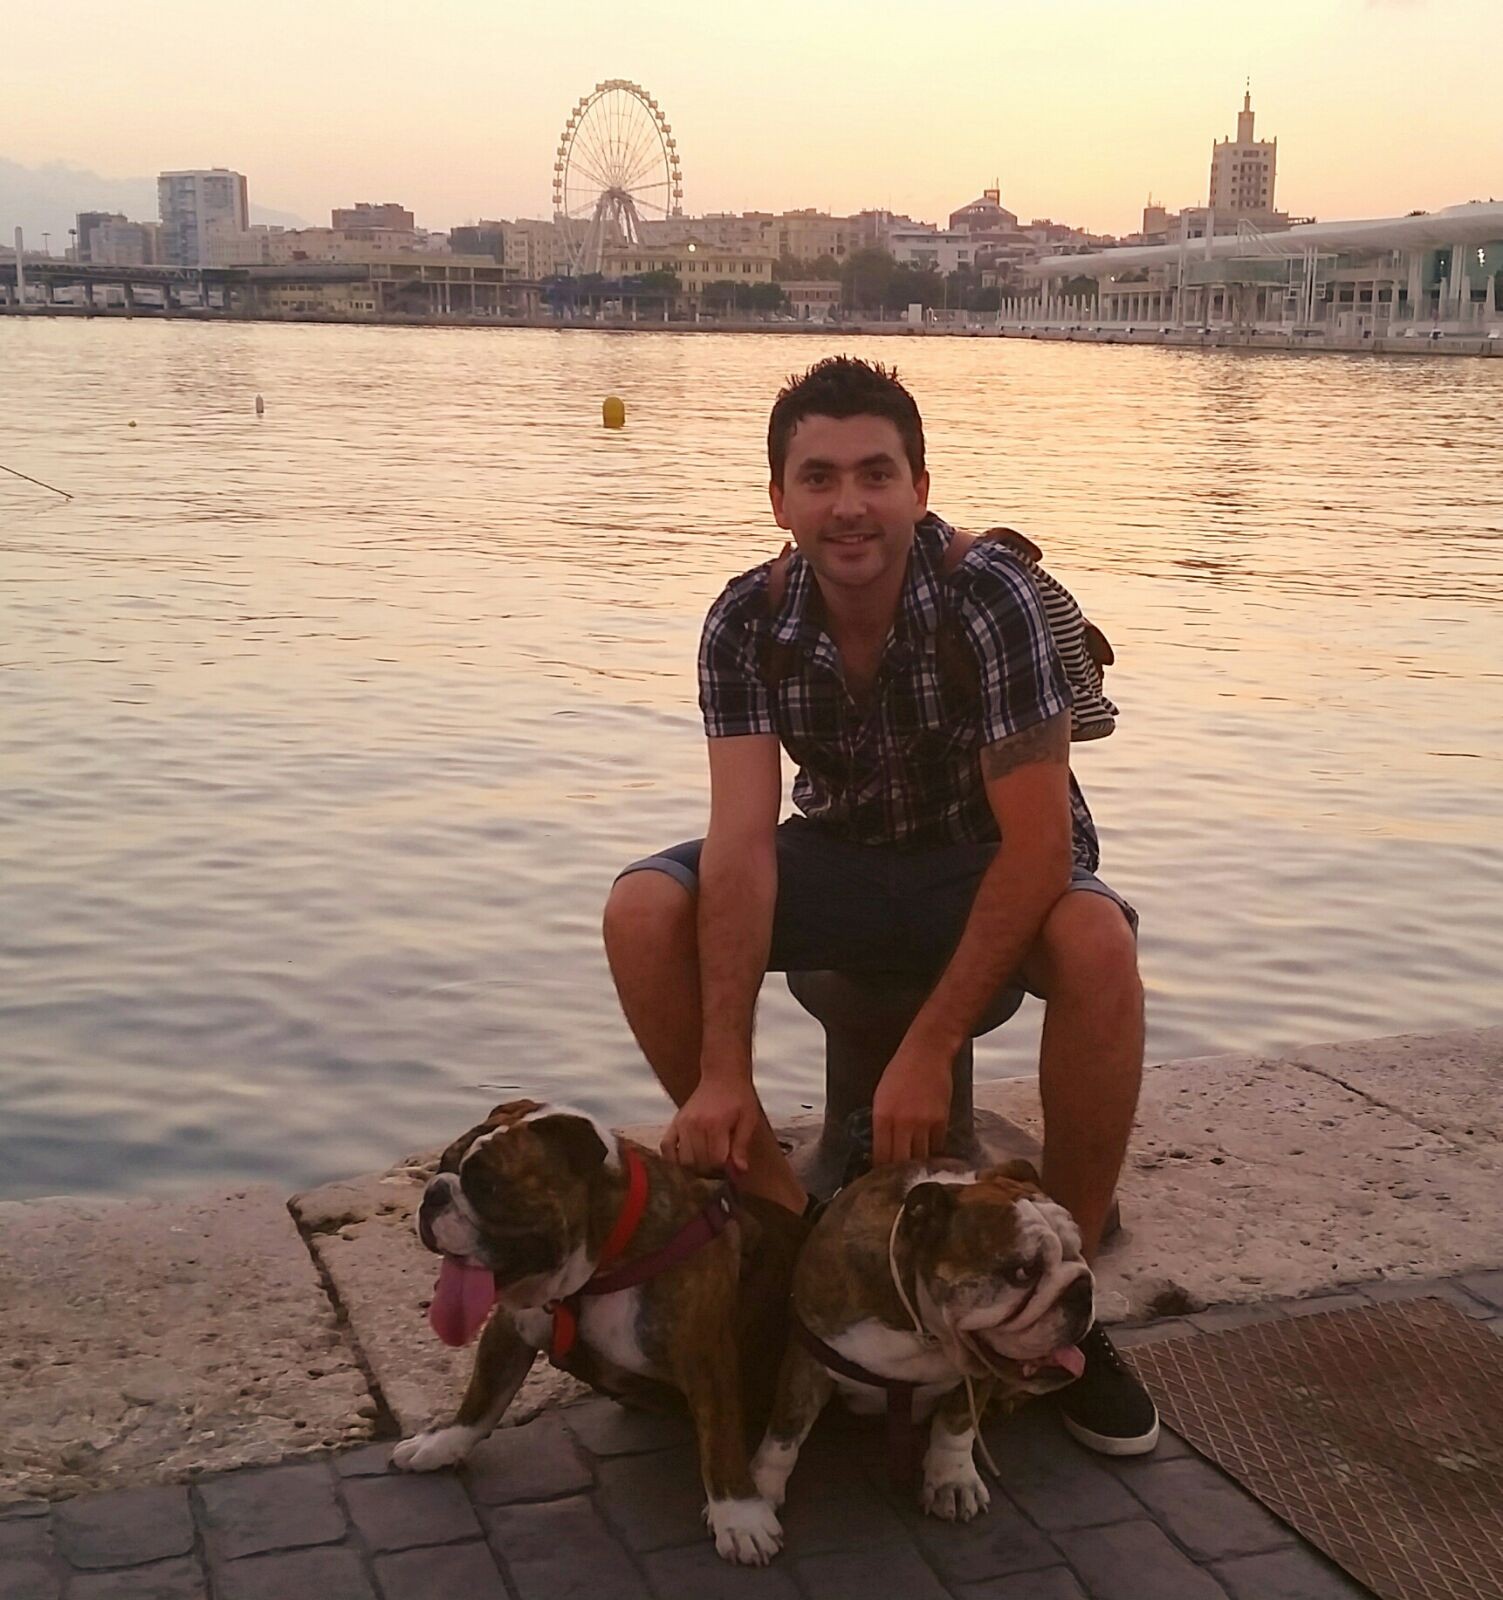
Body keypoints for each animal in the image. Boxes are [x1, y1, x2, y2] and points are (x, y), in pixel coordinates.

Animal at [391, 1099, 804, 1565]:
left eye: (487, 1186)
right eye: (442, 1165)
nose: (433, 1194)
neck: (598, 1268)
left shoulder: (706, 1359)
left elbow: (721, 1441)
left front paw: (739, 1516)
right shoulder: (509, 1329)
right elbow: (481, 1398)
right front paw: (441, 1443)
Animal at [750, 1158, 1094, 1532]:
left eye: (1079, 1250)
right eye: (1023, 1271)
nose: (1083, 1289)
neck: (923, 1330)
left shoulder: (977, 1372)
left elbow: (956, 1425)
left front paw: (952, 1482)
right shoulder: (810, 1358)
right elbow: (786, 1431)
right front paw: (758, 1491)